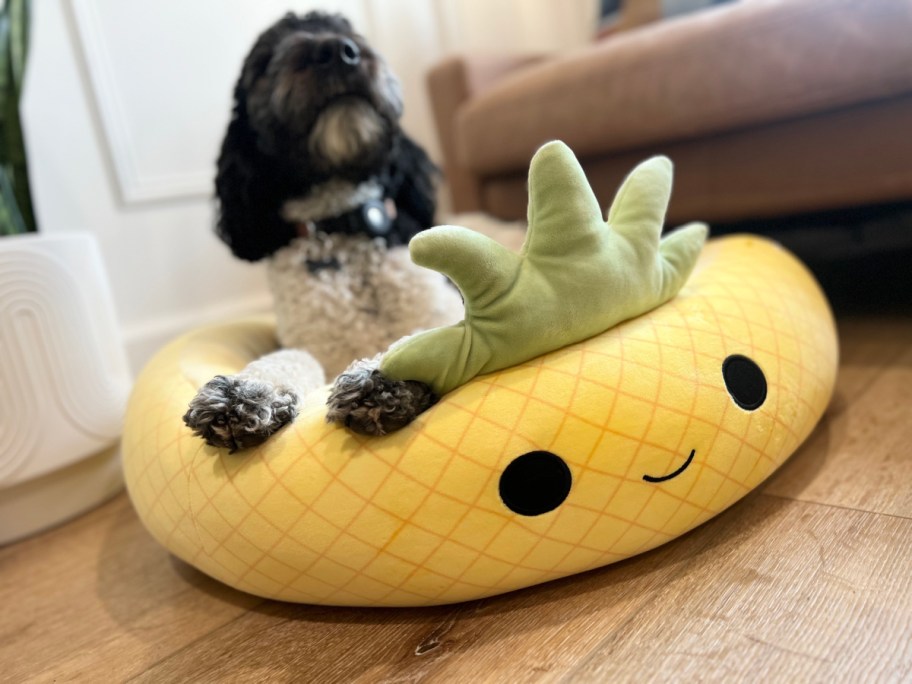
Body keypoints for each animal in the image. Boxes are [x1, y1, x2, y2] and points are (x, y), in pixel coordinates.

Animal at [182, 12, 460, 448]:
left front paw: (383, 375)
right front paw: (248, 391)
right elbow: (291, 358)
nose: (338, 51)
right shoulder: (314, 342)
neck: (341, 226)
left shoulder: (443, 309)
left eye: (351, 32)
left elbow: (426, 334)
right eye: (265, 62)